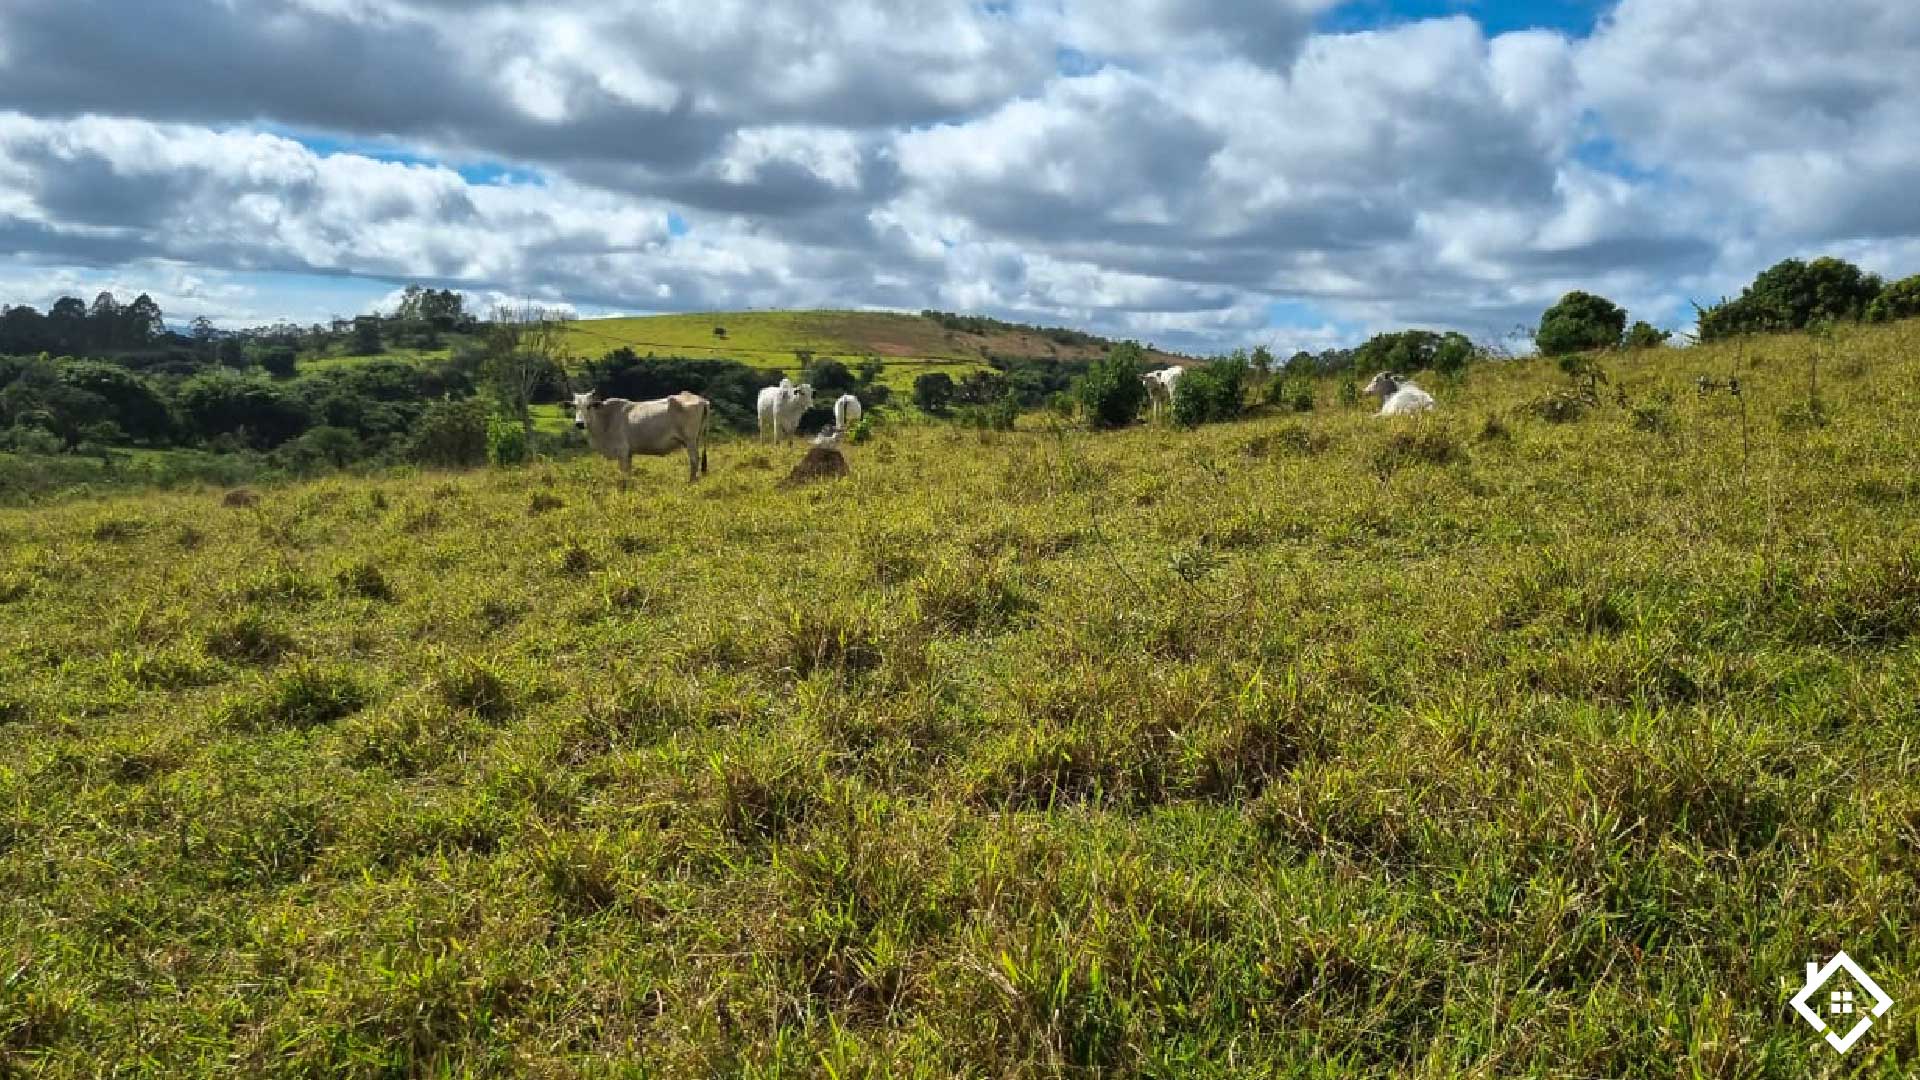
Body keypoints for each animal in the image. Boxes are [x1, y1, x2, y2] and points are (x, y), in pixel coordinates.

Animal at [576, 386, 721, 488]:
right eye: (575, 406)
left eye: (589, 406)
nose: (579, 423)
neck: (606, 419)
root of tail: (702, 400)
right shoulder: (628, 453)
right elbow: (628, 472)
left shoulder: (622, 451)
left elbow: (624, 472)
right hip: (695, 440)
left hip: (690, 441)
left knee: (694, 460)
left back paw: (691, 482)